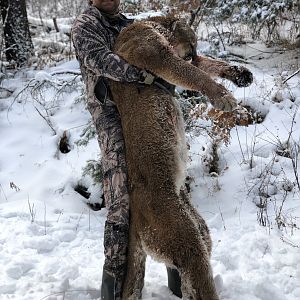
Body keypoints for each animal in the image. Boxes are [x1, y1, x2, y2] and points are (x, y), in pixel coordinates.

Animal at [108, 17, 253, 300]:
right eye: (191, 45)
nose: (193, 54)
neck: (152, 24)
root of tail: (134, 220)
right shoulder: (156, 54)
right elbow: (193, 73)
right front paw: (224, 97)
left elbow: (207, 65)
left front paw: (240, 74)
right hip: (183, 237)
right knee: (198, 275)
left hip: (197, 227)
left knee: (191, 275)